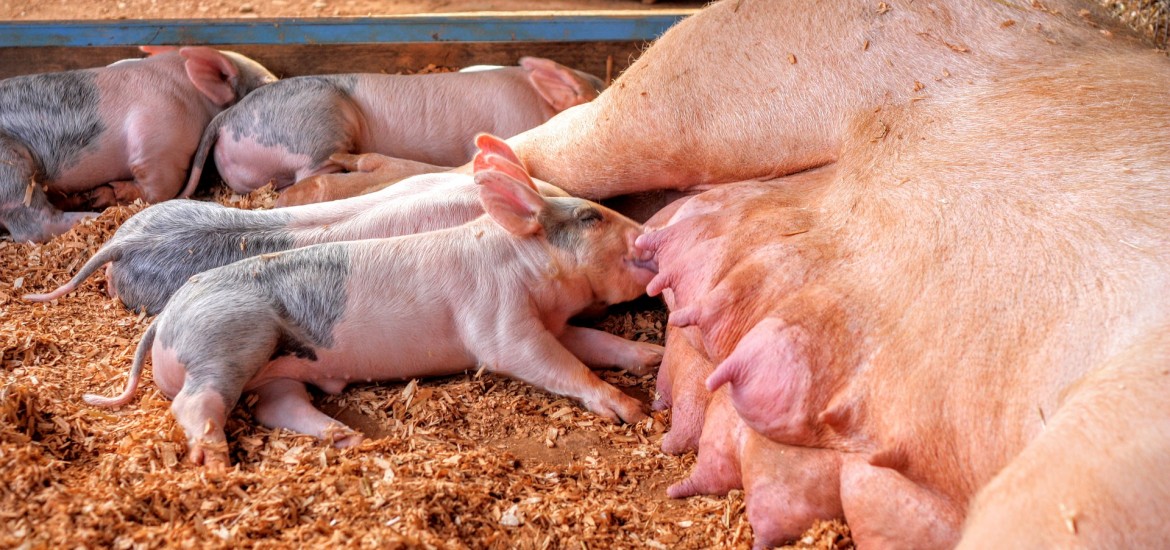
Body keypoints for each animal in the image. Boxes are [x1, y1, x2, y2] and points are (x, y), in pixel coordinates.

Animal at [0, 46, 276, 243]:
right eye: (264, 83)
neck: (195, 95)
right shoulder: (158, 141)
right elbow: (160, 188)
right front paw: (114, 192)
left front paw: (101, 193)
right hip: (10, 164)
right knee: (32, 224)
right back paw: (92, 216)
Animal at [84, 133, 659, 468]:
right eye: (590, 217)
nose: (649, 235)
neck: (521, 263)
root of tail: (165, 323)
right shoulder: (501, 322)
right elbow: (549, 361)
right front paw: (630, 409)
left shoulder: (555, 323)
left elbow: (594, 342)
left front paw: (651, 359)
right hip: (227, 338)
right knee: (195, 400)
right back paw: (216, 461)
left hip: (278, 369)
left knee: (276, 403)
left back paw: (345, 438)